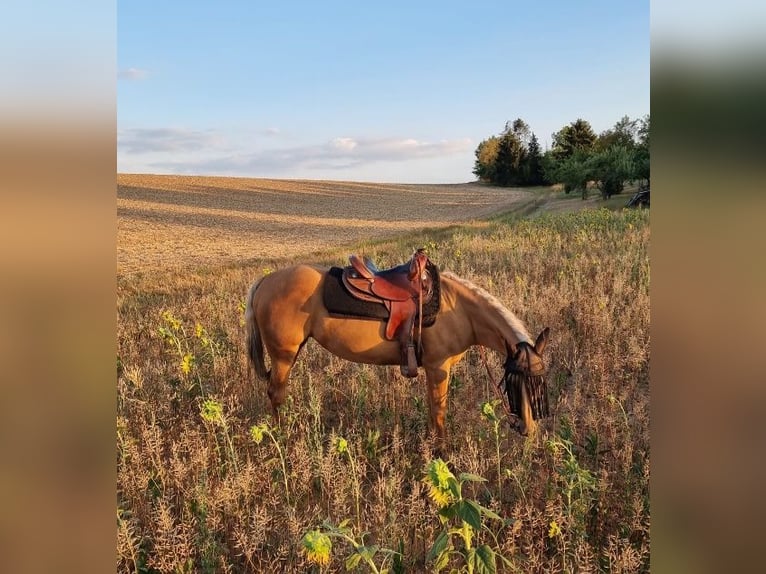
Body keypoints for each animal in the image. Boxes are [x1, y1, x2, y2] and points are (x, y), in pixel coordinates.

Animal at [245, 259, 550, 441]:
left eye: (540, 385)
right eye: (514, 383)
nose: (529, 428)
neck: (458, 308)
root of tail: (265, 281)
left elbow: (433, 411)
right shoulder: (438, 367)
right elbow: (439, 412)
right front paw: (441, 454)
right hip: (283, 356)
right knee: (276, 395)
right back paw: (281, 436)